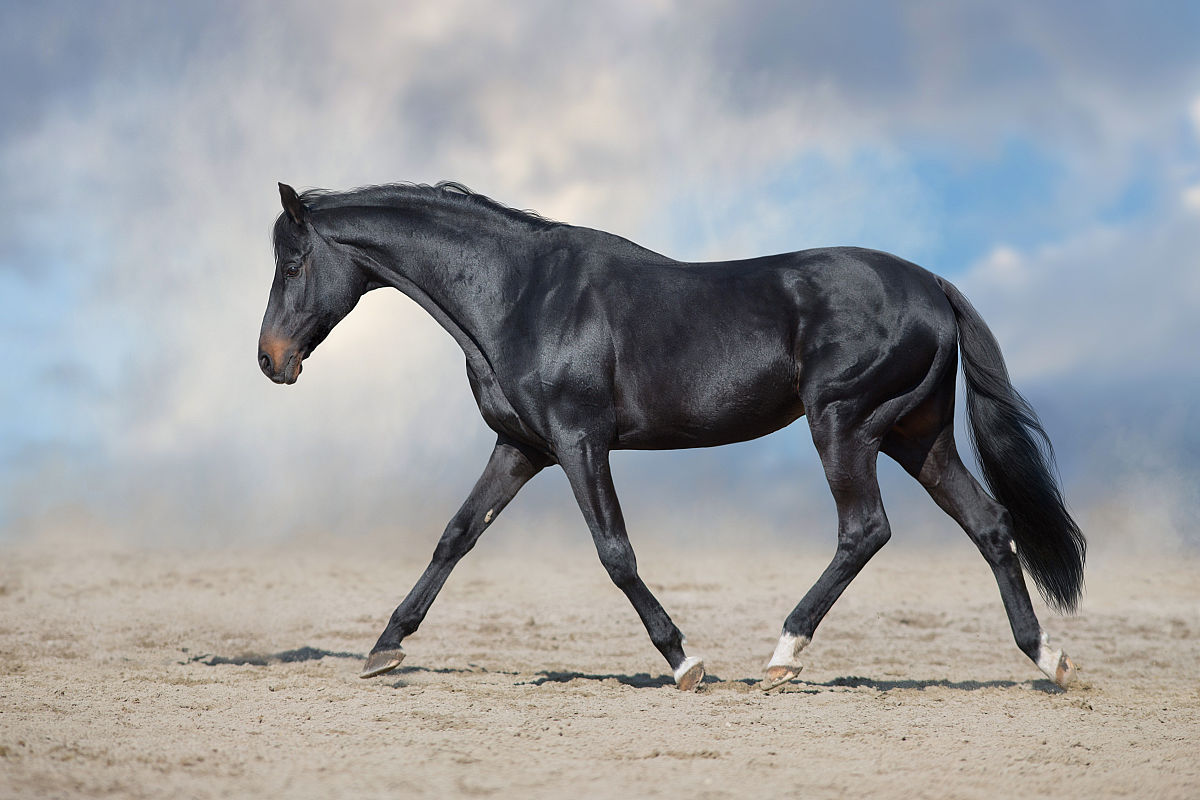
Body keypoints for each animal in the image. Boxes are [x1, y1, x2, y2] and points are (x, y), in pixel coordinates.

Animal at [258, 180, 1085, 692]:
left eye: (293, 262)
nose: (270, 360)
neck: (521, 294)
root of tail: (933, 287)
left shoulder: (578, 441)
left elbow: (615, 553)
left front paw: (686, 662)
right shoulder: (521, 448)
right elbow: (455, 536)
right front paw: (384, 649)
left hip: (844, 424)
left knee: (865, 530)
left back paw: (782, 656)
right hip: (915, 436)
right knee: (990, 523)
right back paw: (1047, 658)